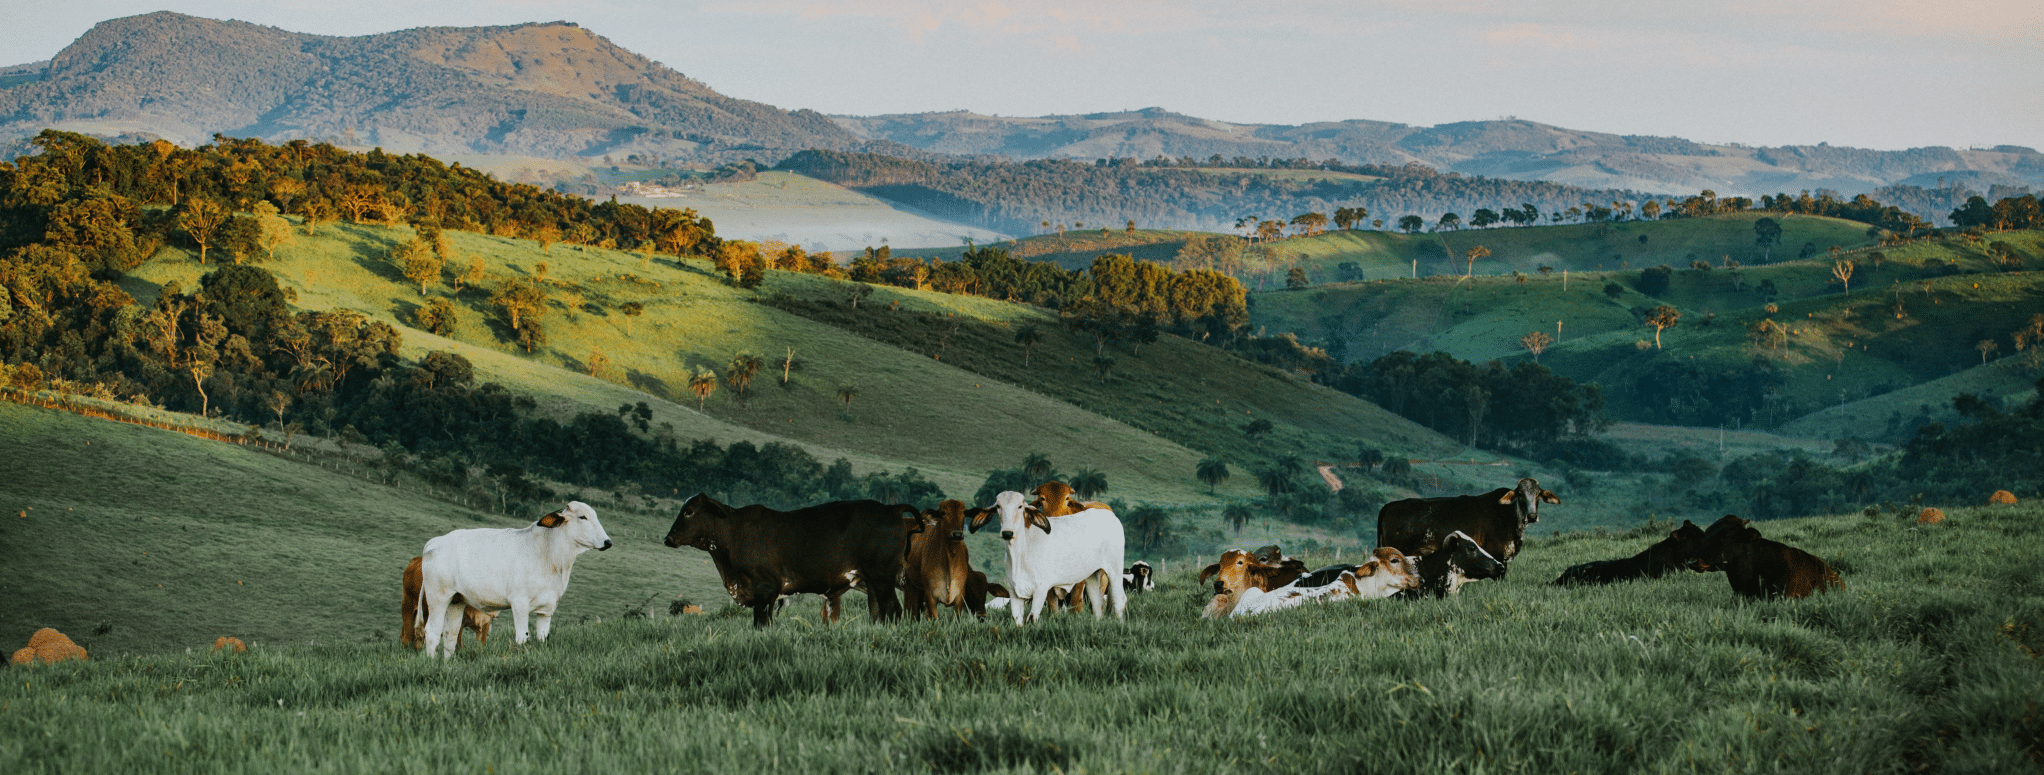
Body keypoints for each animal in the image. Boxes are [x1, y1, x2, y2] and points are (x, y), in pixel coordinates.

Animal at [410, 500, 609, 658]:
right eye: (582, 517)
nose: (608, 542)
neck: (550, 554)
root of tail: (436, 541)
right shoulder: (519, 603)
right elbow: (522, 637)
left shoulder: (547, 608)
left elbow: (542, 638)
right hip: (438, 597)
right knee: (432, 632)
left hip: (457, 600)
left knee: (450, 634)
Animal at [662, 494, 919, 629]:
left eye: (689, 511)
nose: (668, 538)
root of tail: (891, 508)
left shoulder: (765, 590)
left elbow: (760, 622)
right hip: (873, 583)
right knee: (879, 613)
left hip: (883, 578)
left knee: (893, 610)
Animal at [972, 490, 1136, 625]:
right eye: (998, 506)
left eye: (1020, 506)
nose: (1007, 533)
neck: (1020, 553)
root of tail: (1110, 515)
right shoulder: (1014, 592)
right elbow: (1017, 620)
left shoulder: (1041, 589)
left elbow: (1032, 618)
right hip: (1092, 574)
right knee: (1097, 603)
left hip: (1114, 568)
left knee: (1120, 599)